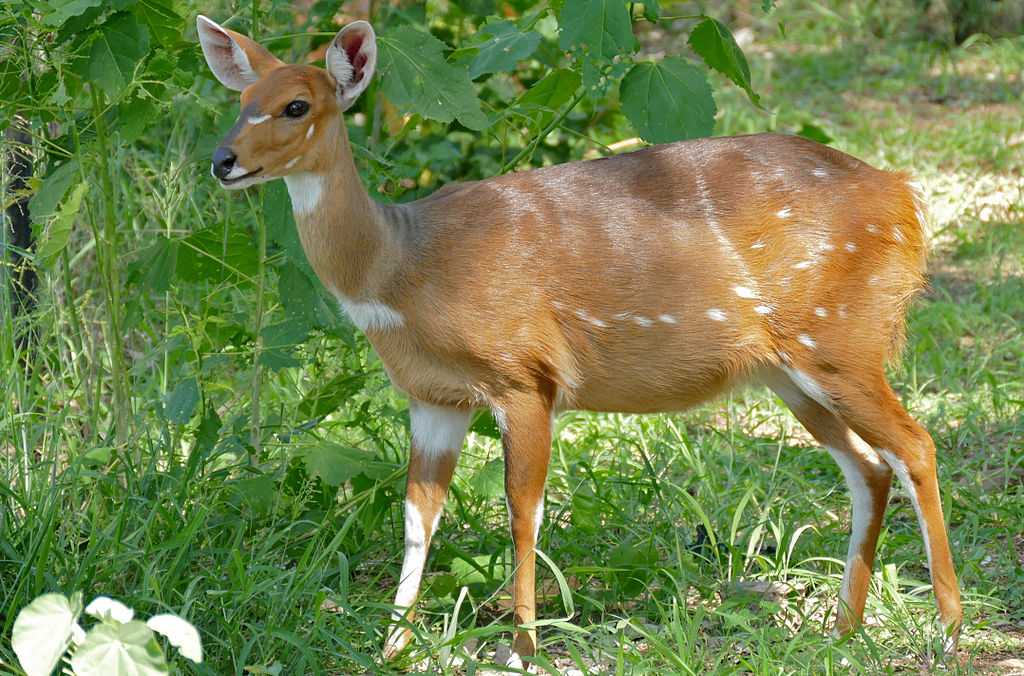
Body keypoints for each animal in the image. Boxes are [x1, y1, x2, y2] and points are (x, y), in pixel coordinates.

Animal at [197, 14, 958, 663]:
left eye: (297, 106)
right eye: (240, 100)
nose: (222, 160)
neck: (403, 272)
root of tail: (905, 198)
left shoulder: (524, 375)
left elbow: (522, 514)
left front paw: (520, 650)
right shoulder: (433, 398)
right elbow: (417, 519)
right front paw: (391, 648)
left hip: (841, 339)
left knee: (916, 445)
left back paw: (947, 632)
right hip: (787, 369)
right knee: (869, 466)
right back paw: (842, 630)